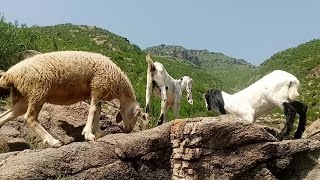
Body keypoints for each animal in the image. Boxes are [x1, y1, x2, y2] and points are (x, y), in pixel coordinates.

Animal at [0, 50, 142, 148]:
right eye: (137, 115)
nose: (129, 131)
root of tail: (10, 75)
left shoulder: (96, 93)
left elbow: (98, 112)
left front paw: (98, 132)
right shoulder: (97, 87)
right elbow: (92, 110)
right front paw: (88, 134)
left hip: (25, 98)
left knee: (5, 116)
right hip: (38, 90)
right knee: (30, 118)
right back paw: (53, 141)